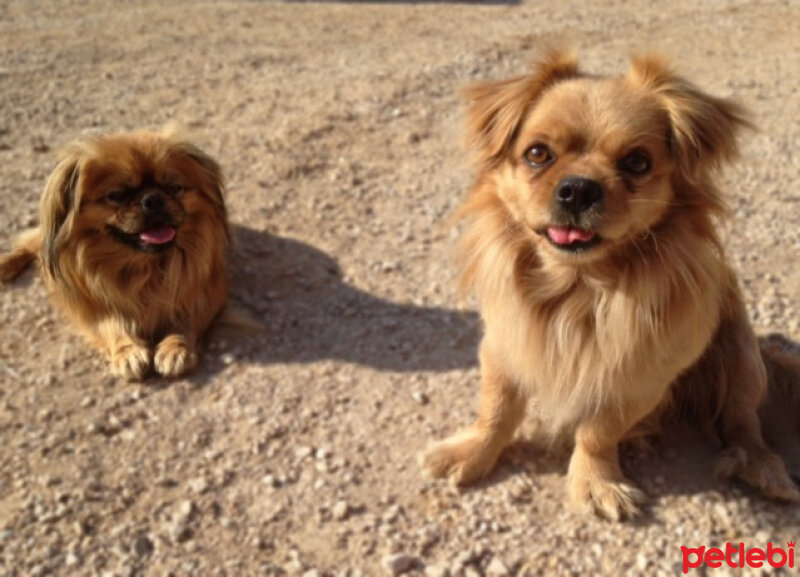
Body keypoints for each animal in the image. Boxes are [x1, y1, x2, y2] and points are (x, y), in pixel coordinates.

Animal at [0, 132, 231, 382]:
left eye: (174, 187)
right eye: (117, 195)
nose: (152, 199)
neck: (146, 268)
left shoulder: (205, 294)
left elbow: (185, 319)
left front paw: (175, 348)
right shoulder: (90, 306)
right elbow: (110, 323)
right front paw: (129, 353)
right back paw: (6, 263)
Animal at [422, 49, 796, 516]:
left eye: (637, 162)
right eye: (537, 153)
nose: (579, 188)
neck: (578, 287)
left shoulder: (636, 376)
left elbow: (598, 432)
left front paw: (596, 483)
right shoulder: (504, 346)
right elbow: (496, 409)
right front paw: (472, 453)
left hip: (744, 356)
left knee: (743, 421)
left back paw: (762, 468)